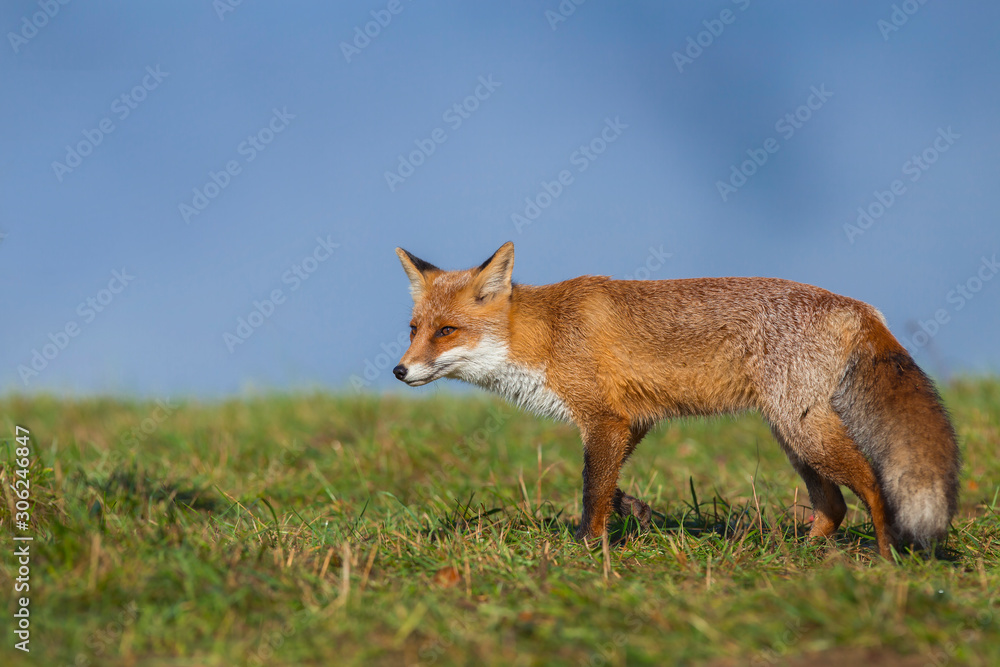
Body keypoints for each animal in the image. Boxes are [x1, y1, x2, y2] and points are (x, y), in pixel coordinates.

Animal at [392, 241, 960, 558]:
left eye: (447, 331)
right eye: (415, 329)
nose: (400, 370)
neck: (547, 335)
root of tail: (860, 306)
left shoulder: (604, 420)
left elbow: (592, 493)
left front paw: (587, 552)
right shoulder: (633, 421)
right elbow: (610, 486)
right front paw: (634, 514)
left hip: (804, 431)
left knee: (871, 483)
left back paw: (886, 559)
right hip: (793, 433)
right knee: (834, 505)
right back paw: (796, 555)